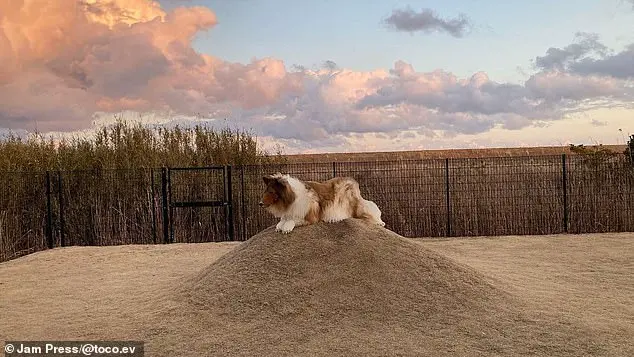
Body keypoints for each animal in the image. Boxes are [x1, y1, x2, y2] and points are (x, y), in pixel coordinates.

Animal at [258, 172, 386, 234]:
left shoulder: (310, 217)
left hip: (356, 206)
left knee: (371, 211)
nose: (259, 203)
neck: (292, 197)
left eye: (271, 192)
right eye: (265, 191)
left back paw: (380, 222)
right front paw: (280, 225)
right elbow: (283, 220)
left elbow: (294, 219)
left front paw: (286, 227)